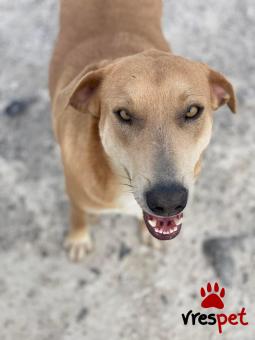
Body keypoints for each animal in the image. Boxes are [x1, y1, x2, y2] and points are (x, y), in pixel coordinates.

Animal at [49, 0, 237, 262]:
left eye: (192, 111)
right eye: (124, 114)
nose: (168, 202)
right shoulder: (75, 193)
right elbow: (78, 214)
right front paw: (78, 238)